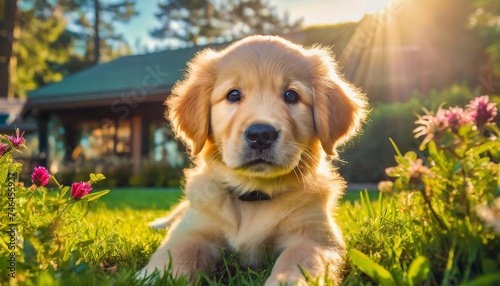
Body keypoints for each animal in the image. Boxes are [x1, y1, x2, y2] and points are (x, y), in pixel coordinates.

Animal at [139, 35, 370, 286]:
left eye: (291, 95)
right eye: (233, 95)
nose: (261, 135)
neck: (253, 193)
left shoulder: (316, 238)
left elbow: (300, 259)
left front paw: (288, 280)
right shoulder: (193, 229)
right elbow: (178, 252)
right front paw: (158, 275)